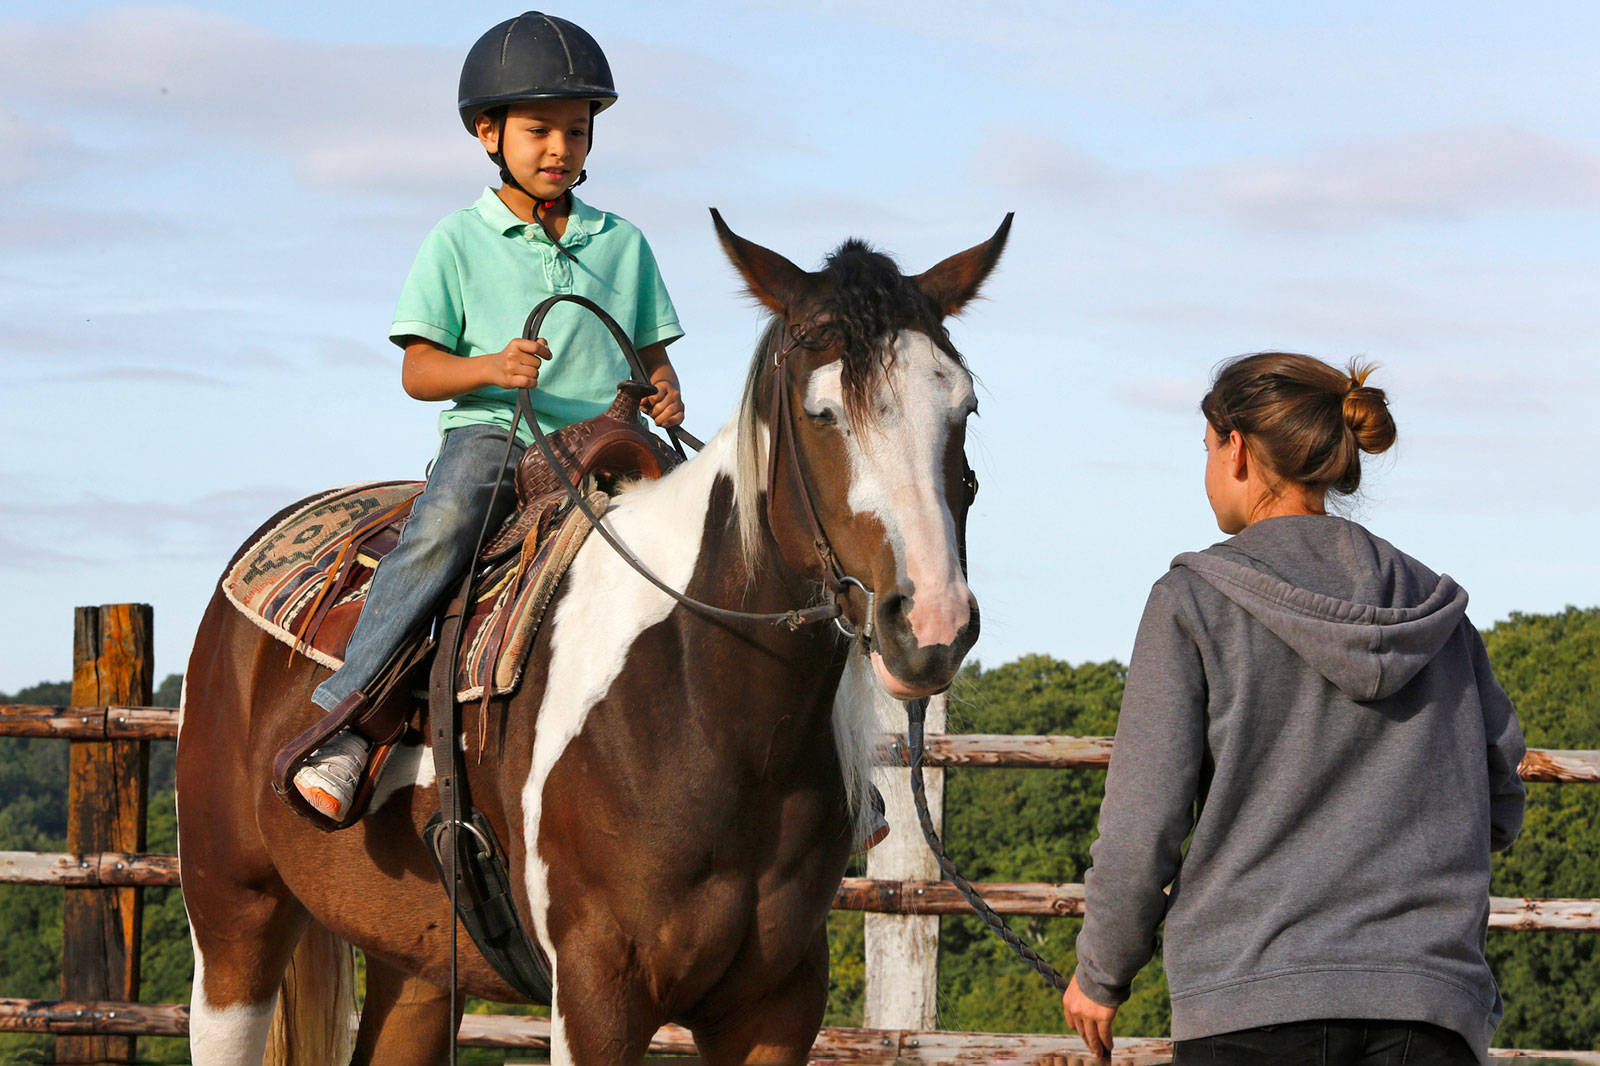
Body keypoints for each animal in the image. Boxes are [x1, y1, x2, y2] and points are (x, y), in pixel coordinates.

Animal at [178, 214, 1011, 1062]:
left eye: (965, 408)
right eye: (821, 413)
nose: (931, 623)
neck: (709, 712)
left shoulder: (778, 1005)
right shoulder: (595, 991)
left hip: (415, 966)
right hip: (233, 915)